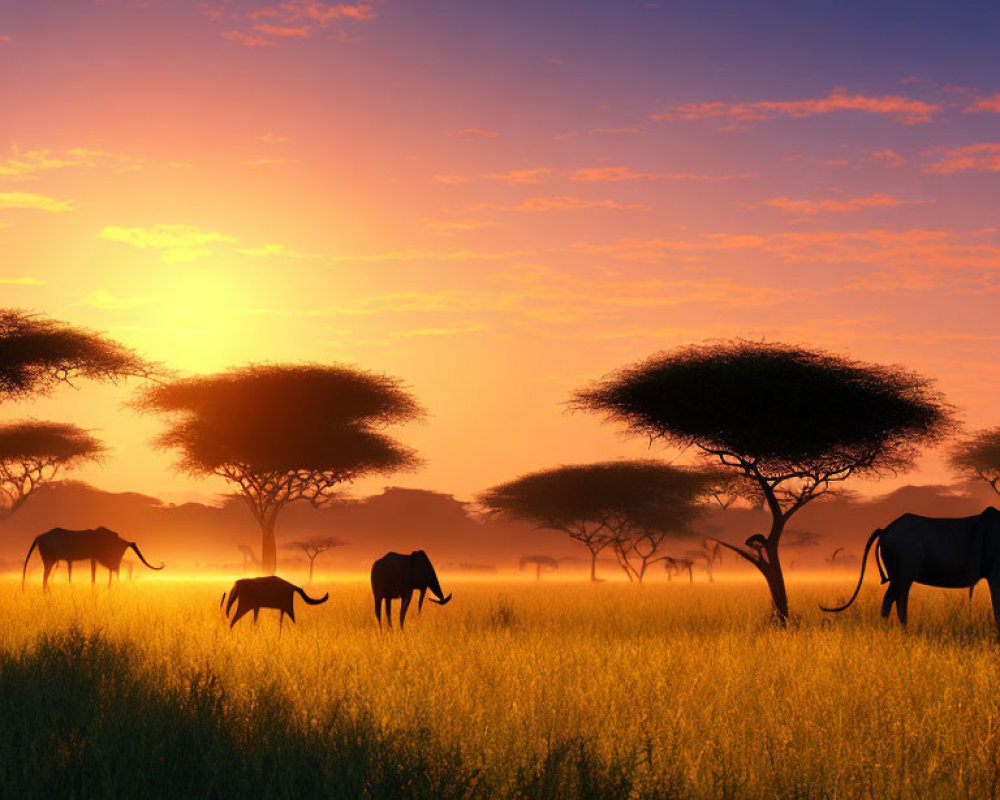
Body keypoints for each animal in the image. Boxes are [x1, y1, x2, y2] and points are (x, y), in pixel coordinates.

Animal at [22, 528, 164, 592]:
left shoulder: (94, 558)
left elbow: (94, 577)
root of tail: (39, 537)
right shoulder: (97, 557)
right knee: (45, 577)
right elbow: (94, 576)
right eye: (121, 549)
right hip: (49, 559)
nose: (116, 563)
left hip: (49, 560)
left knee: (45, 578)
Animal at [820, 510, 1000, 636]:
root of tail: (886, 530)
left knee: (897, 598)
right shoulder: (995, 573)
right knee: (893, 598)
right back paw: (896, 633)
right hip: (903, 571)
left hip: (900, 575)